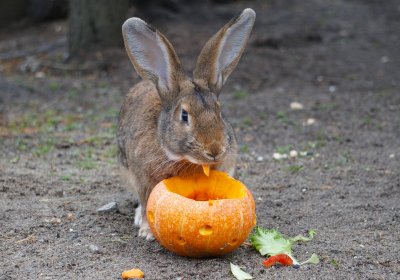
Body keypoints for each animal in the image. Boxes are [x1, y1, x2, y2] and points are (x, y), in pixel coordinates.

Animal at [119, 8, 256, 241]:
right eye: (184, 116)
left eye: (219, 111)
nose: (215, 150)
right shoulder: (143, 179)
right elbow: (146, 202)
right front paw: (147, 231)